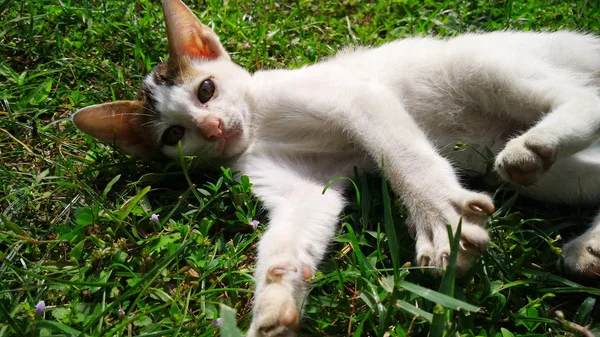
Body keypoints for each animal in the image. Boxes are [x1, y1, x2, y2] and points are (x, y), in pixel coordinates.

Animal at [72, 0, 600, 334]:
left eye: (206, 89)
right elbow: (296, 226)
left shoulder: (353, 95)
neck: (259, 127)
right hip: (553, 172)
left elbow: (400, 153)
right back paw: (588, 248)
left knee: (578, 97)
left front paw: (439, 221)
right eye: (173, 136)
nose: (216, 128)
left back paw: (534, 145)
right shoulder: (300, 187)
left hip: (482, 64)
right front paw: (275, 300)